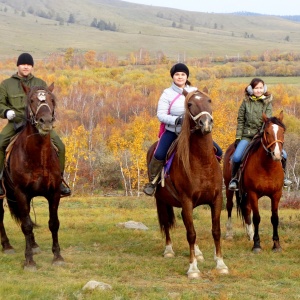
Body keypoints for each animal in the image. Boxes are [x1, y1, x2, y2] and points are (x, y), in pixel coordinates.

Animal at [0, 82, 63, 270]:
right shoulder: (20, 193)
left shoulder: (54, 193)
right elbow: (26, 226)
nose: (46, 122)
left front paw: (57, 256)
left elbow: (53, 223)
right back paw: (7, 246)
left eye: (51, 100)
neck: (38, 156)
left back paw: (34, 245)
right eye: (33, 100)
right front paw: (29, 260)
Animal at [146, 88, 229, 278]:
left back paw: (198, 253)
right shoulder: (186, 200)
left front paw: (220, 264)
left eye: (209, 100)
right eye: (190, 104)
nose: (206, 123)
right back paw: (169, 250)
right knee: (166, 223)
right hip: (161, 200)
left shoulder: (216, 199)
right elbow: (191, 233)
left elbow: (216, 231)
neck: (202, 162)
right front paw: (193, 269)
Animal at [224, 111, 284, 252]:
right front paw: (257, 245)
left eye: (282, 131)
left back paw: (250, 234)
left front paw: (276, 244)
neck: (267, 167)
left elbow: (275, 218)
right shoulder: (253, 193)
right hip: (229, 188)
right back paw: (229, 234)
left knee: (246, 209)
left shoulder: (276, 194)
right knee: (229, 207)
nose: (277, 155)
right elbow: (256, 218)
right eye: (267, 132)